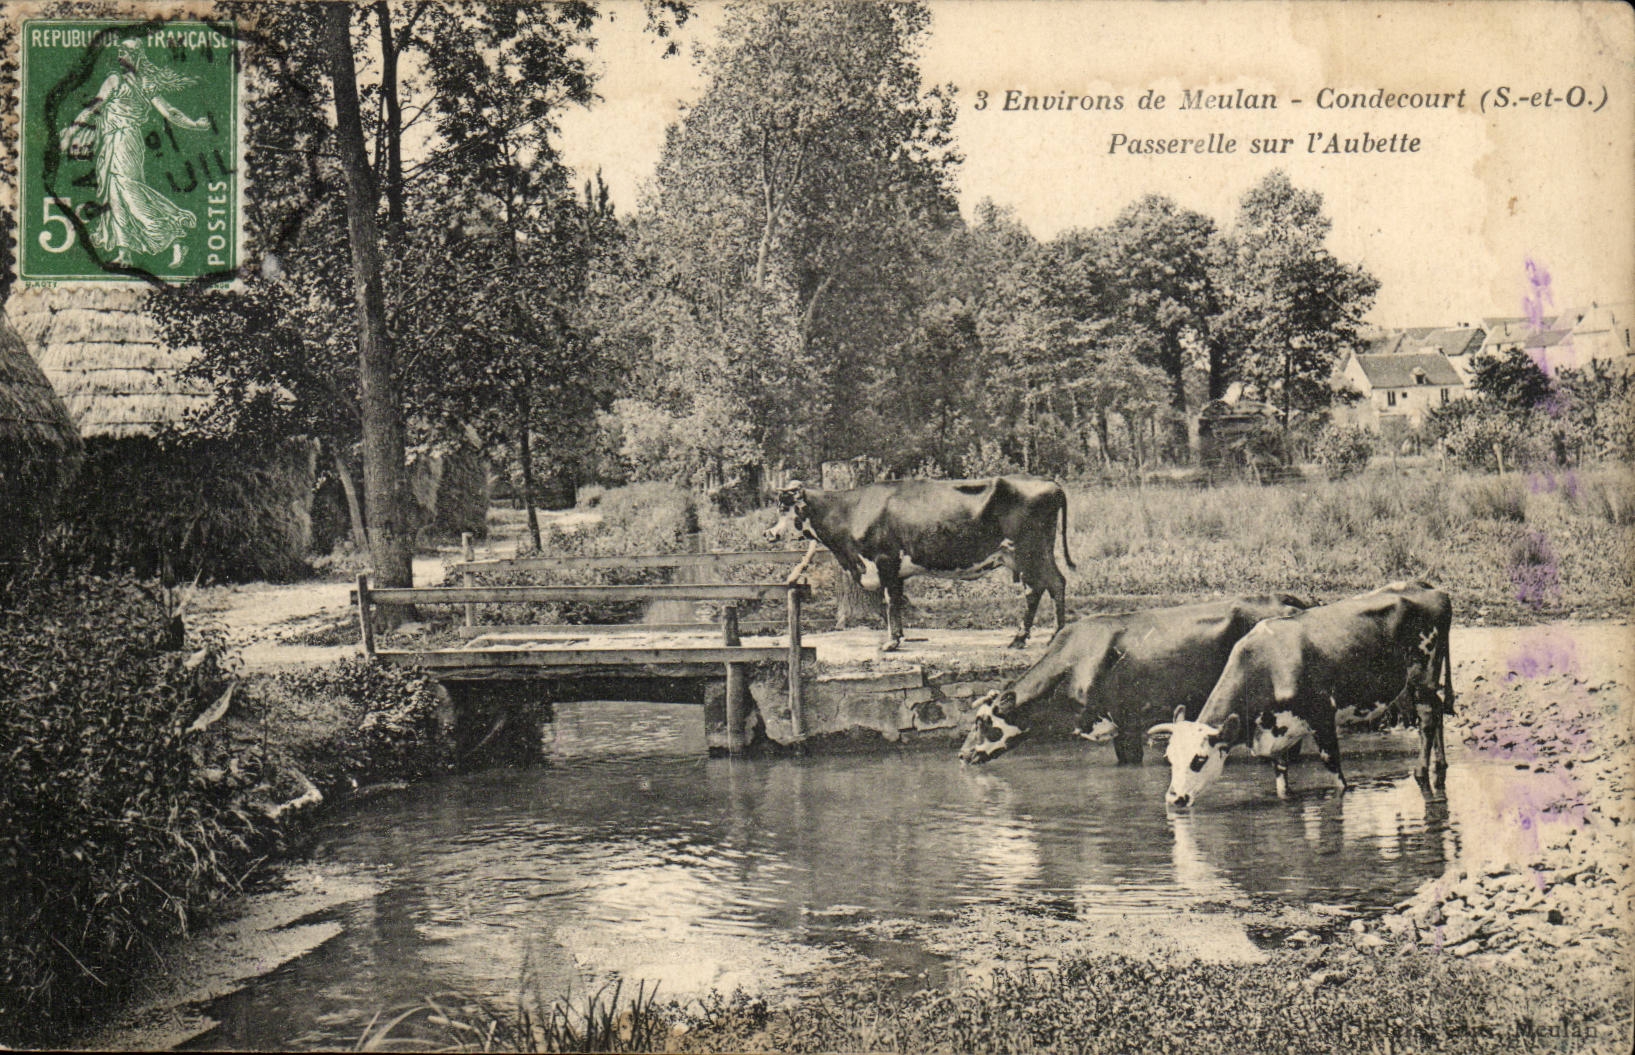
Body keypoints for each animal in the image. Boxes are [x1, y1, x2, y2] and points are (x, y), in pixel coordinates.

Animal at [764, 477, 1073, 651]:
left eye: (784, 508)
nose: (769, 534)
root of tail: (1051, 484)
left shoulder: (885, 560)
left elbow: (890, 601)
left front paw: (891, 642)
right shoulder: (896, 570)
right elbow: (897, 601)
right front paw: (899, 636)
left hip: (1026, 551)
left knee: (1037, 588)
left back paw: (1027, 637)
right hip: (1036, 552)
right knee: (1054, 583)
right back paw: (1053, 635)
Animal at [1151, 582, 1454, 808]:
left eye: (1199, 759)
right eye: (1169, 758)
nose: (1174, 799)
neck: (1269, 664)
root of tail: (1425, 586)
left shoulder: (1322, 717)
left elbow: (1335, 773)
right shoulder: (1279, 733)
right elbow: (1282, 782)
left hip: (1423, 673)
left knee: (1428, 717)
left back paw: (1422, 772)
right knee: (1439, 708)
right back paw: (1440, 764)